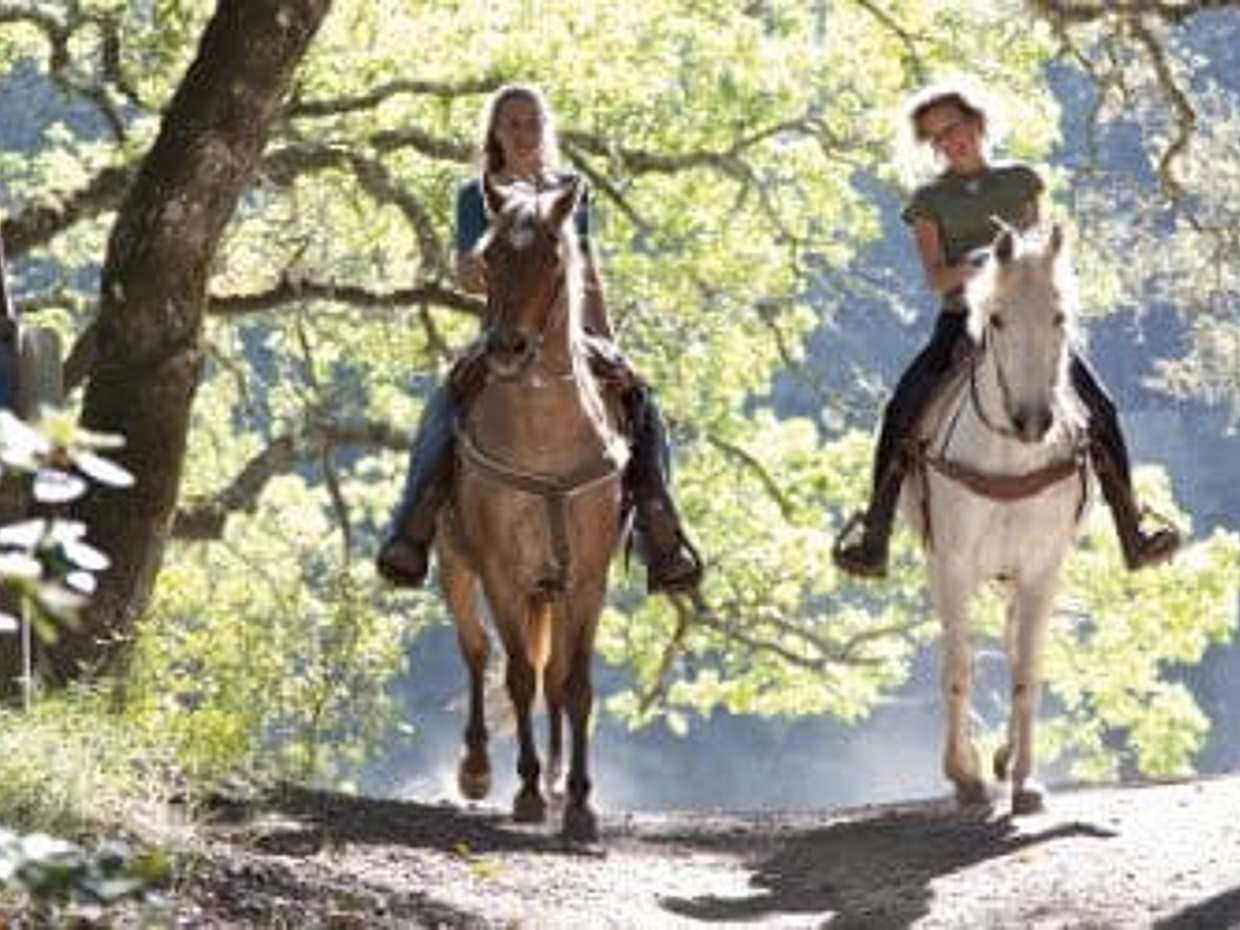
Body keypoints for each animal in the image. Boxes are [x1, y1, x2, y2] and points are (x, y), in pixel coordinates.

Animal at [434, 175, 628, 841]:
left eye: (552, 257)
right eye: (490, 256)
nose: (508, 348)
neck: (544, 440)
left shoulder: (588, 579)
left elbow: (576, 686)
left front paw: (581, 804)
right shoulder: (502, 573)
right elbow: (516, 675)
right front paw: (525, 792)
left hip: (554, 589)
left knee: (554, 677)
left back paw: (557, 777)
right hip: (457, 567)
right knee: (476, 651)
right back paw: (476, 768)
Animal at [900, 224, 1090, 815]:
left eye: (1059, 316)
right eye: (999, 318)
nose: (1033, 421)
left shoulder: (1042, 569)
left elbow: (1026, 670)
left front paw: (1025, 780)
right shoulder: (952, 566)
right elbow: (958, 670)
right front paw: (964, 775)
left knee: (1012, 646)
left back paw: (1006, 758)